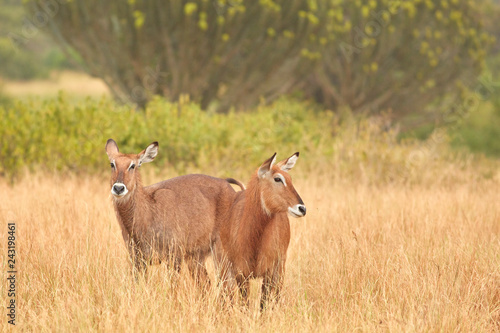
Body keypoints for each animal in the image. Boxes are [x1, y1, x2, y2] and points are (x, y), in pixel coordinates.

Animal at [106, 138, 244, 282]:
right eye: (112, 164)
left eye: (133, 165)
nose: (119, 188)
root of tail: (230, 188)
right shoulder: (137, 259)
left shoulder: (174, 256)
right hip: (196, 257)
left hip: (220, 251)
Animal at [214, 152, 304, 310]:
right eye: (277, 178)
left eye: (290, 178)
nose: (302, 208)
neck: (255, 239)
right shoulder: (241, 274)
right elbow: (245, 305)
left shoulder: (269, 273)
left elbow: (263, 305)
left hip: (280, 270)